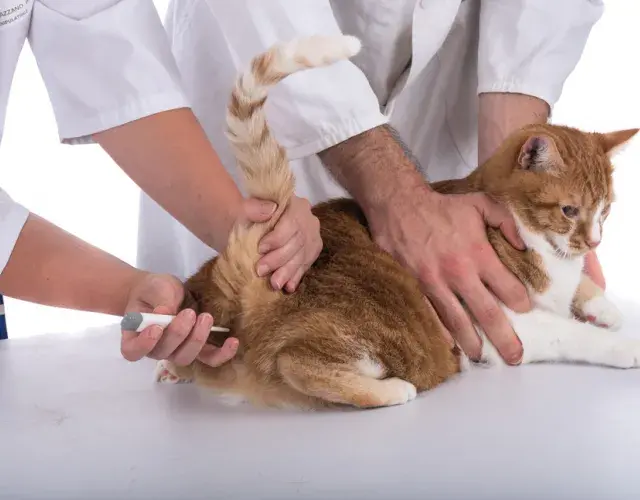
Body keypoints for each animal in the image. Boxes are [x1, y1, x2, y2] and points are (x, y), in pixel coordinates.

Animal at [155, 34, 640, 410]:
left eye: (606, 211)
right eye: (569, 211)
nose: (594, 243)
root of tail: (254, 284)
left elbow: (583, 292)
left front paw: (604, 306)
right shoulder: (510, 327)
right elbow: (572, 334)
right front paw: (624, 344)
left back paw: (171, 366)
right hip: (386, 338)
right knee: (297, 362)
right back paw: (392, 391)